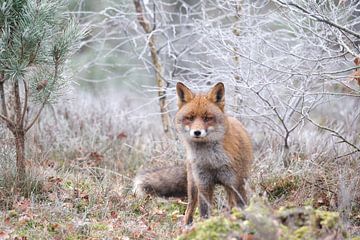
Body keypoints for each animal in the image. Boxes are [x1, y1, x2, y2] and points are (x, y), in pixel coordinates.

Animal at [134, 81, 255, 224]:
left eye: (207, 118)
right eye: (190, 118)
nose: (197, 132)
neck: (211, 161)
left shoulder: (236, 183)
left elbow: (241, 206)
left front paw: (242, 221)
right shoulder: (204, 183)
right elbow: (204, 210)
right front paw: (204, 225)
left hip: (230, 184)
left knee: (231, 203)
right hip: (193, 184)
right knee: (191, 206)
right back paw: (186, 224)